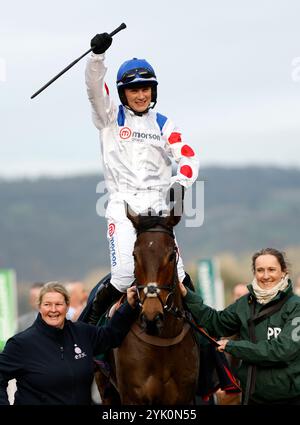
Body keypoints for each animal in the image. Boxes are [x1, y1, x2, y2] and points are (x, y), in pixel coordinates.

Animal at [95, 204, 199, 402]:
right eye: (134, 255)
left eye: (171, 256)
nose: (151, 318)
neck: (163, 342)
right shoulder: (132, 397)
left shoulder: (184, 396)